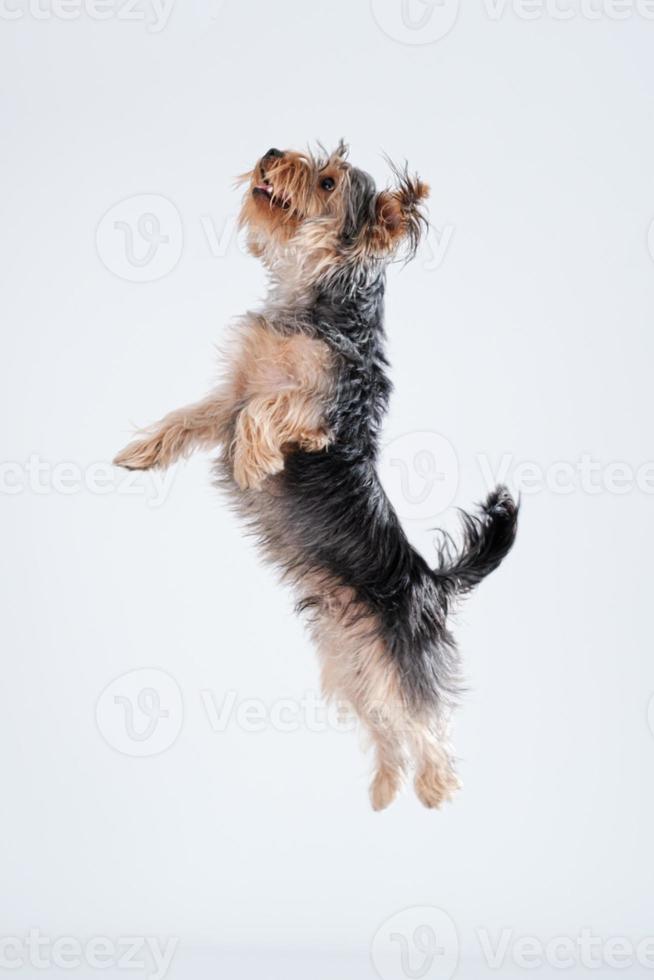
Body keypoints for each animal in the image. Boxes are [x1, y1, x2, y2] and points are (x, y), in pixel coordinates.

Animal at [115, 140, 520, 812]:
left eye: (328, 181)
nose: (270, 152)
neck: (315, 303)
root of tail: (430, 582)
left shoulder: (325, 412)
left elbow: (267, 410)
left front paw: (252, 462)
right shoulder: (230, 395)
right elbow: (196, 416)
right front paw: (141, 451)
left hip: (402, 660)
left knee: (427, 721)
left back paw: (437, 788)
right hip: (352, 663)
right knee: (387, 726)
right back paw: (384, 791)